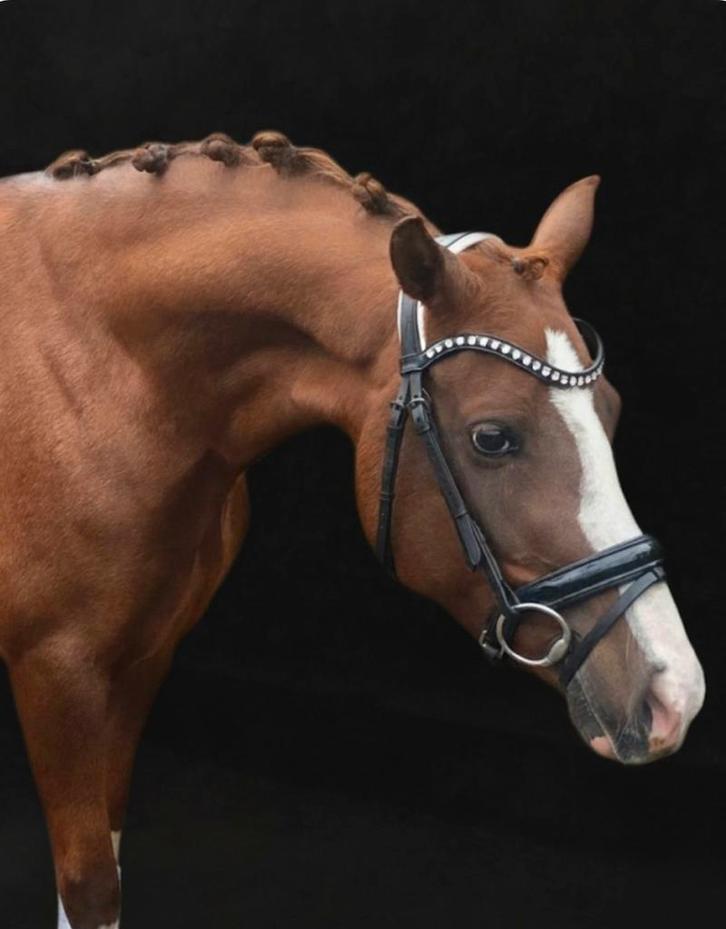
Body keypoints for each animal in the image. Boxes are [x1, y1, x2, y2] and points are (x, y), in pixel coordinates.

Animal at [0, 130, 704, 929]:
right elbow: (90, 884)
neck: (93, 365)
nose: (674, 691)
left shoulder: (140, 658)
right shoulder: (56, 671)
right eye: (493, 437)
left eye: (610, 409)